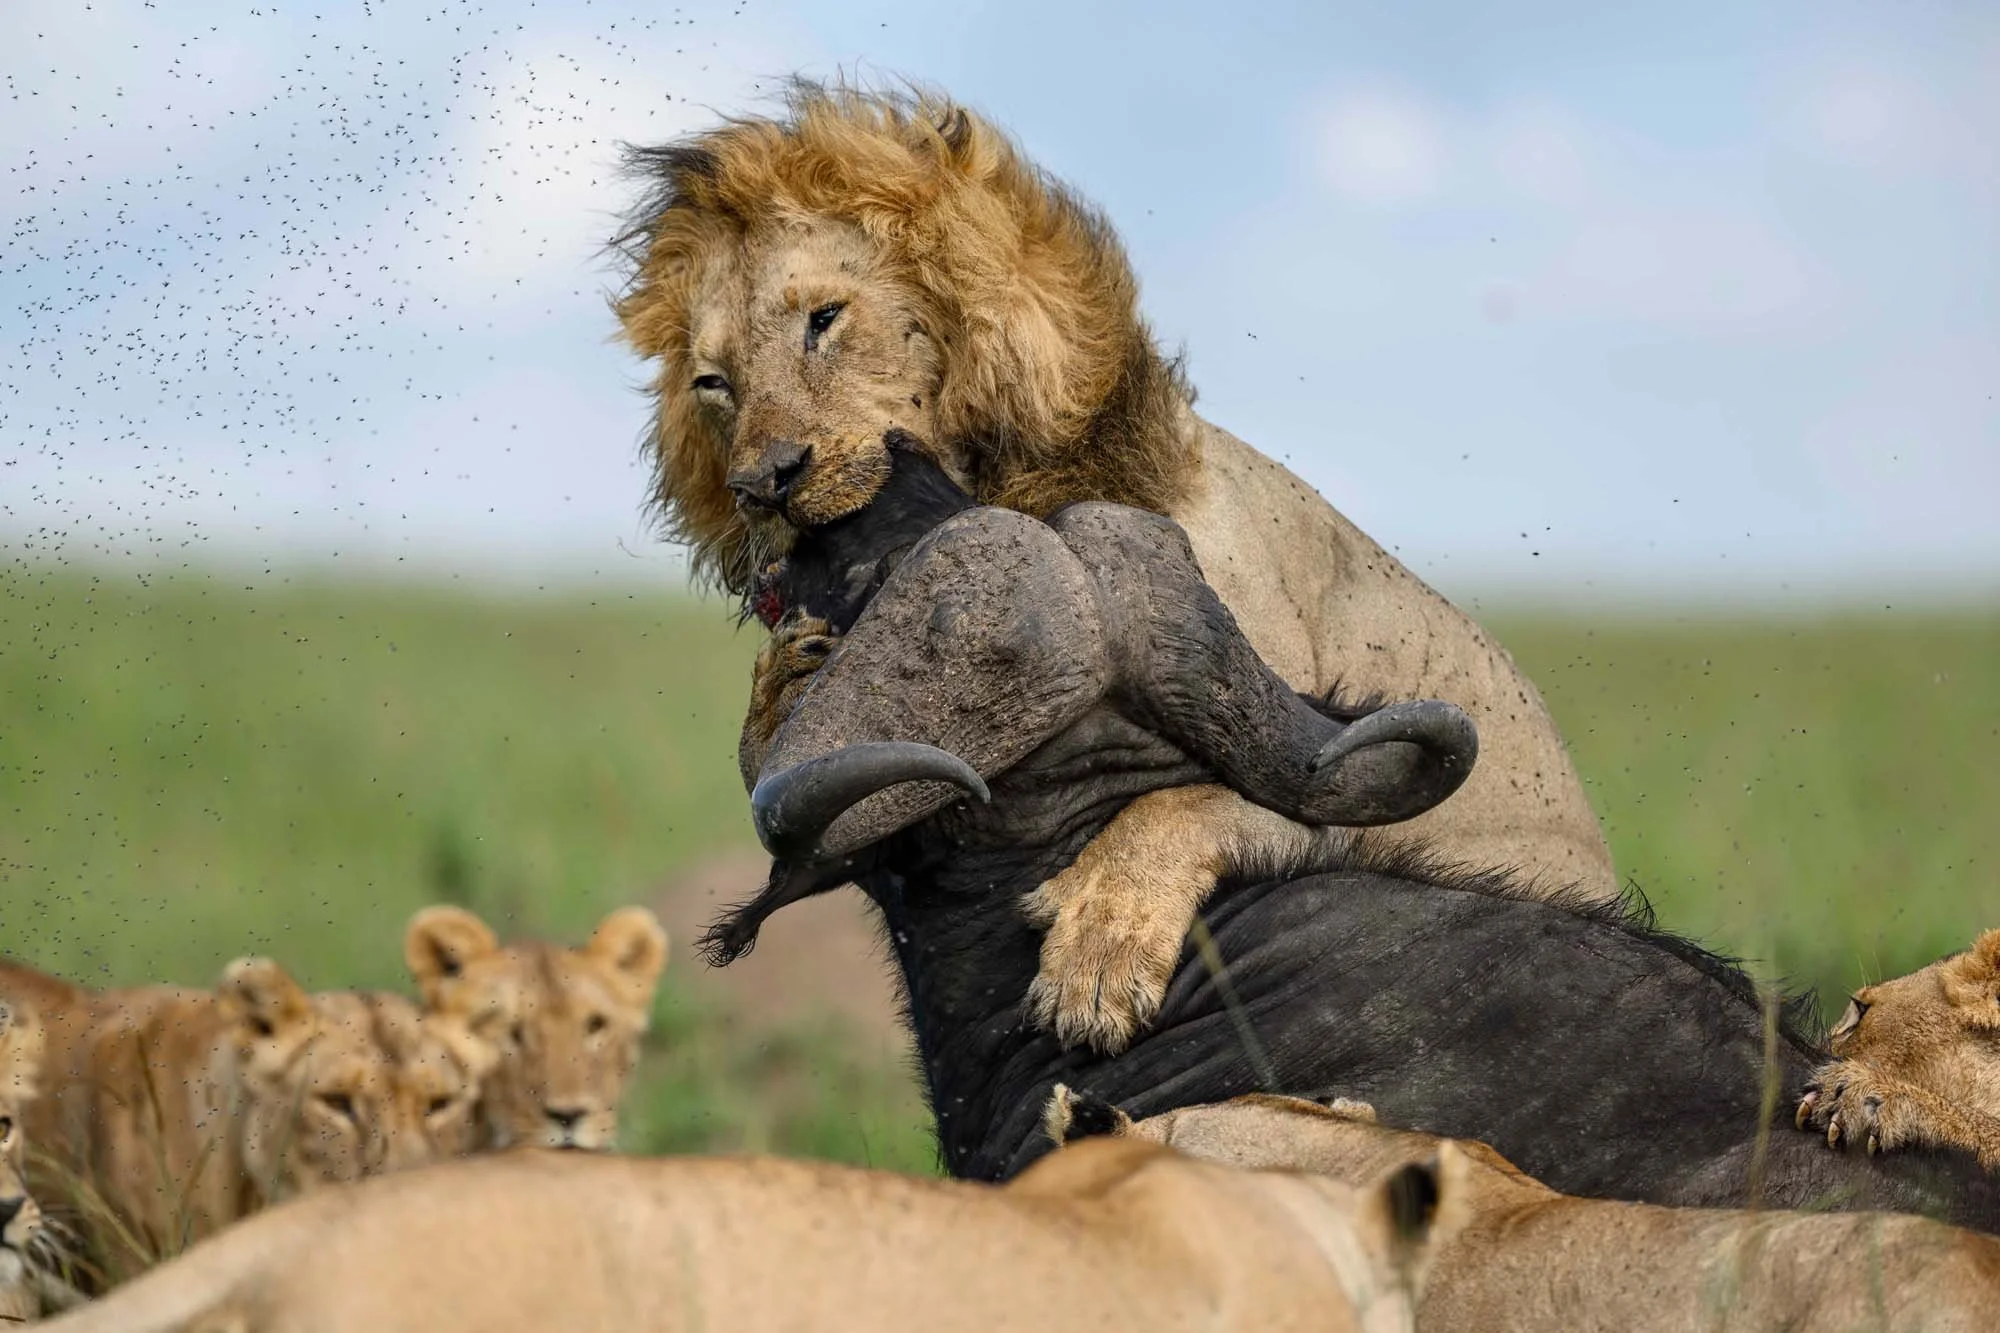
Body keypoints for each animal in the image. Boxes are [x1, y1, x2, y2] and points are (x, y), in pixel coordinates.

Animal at [612, 80, 1617, 1055]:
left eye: (824, 320)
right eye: (715, 384)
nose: (762, 484)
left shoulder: (1324, 754)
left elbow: (1186, 805)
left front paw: (1098, 954)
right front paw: (790, 673)